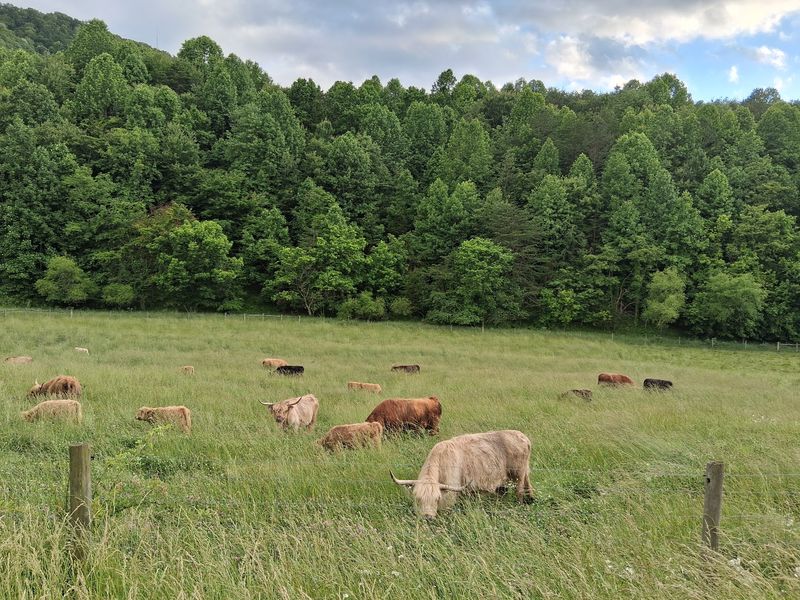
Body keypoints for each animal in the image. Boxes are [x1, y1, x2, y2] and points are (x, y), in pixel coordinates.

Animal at [391, 430, 535, 519]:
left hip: (519, 473)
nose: (428, 518)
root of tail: (524, 437)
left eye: (437, 499)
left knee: (519, 490)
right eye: (418, 499)